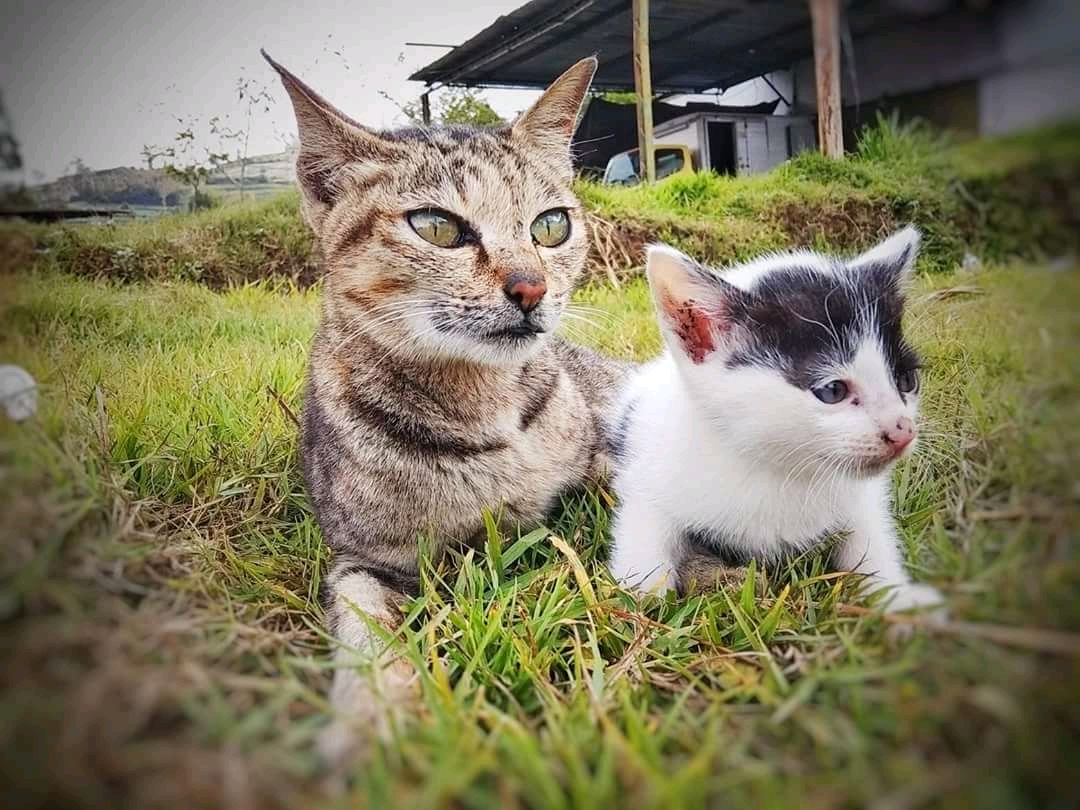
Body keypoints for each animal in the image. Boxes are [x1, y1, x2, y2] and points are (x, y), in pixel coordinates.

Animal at [262, 51, 631, 764]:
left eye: (552, 226)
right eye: (437, 227)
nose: (531, 288)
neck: (489, 412)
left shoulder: (599, 458)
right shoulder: (363, 560)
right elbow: (368, 637)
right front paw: (372, 723)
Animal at [607, 228, 946, 616]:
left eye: (907, 381)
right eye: (832, 390)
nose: (902, 431)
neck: (778, 469)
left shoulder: (862, 497)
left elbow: (871, 535)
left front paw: (898, 597)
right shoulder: (648, 465)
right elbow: (645, 528)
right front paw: (640, 604)